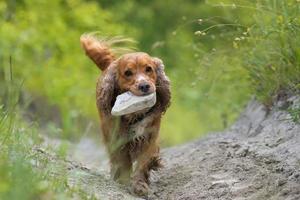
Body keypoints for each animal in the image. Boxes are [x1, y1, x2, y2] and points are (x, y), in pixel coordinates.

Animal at [80, 33, 171, 196]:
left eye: (149, 69)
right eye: (128, 73)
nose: (144, 86)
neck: (135, 114)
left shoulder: (150, 137)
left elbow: (143, 162)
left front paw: (140, 185)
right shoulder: (117, 138)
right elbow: (123, 160)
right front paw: (123, 179)